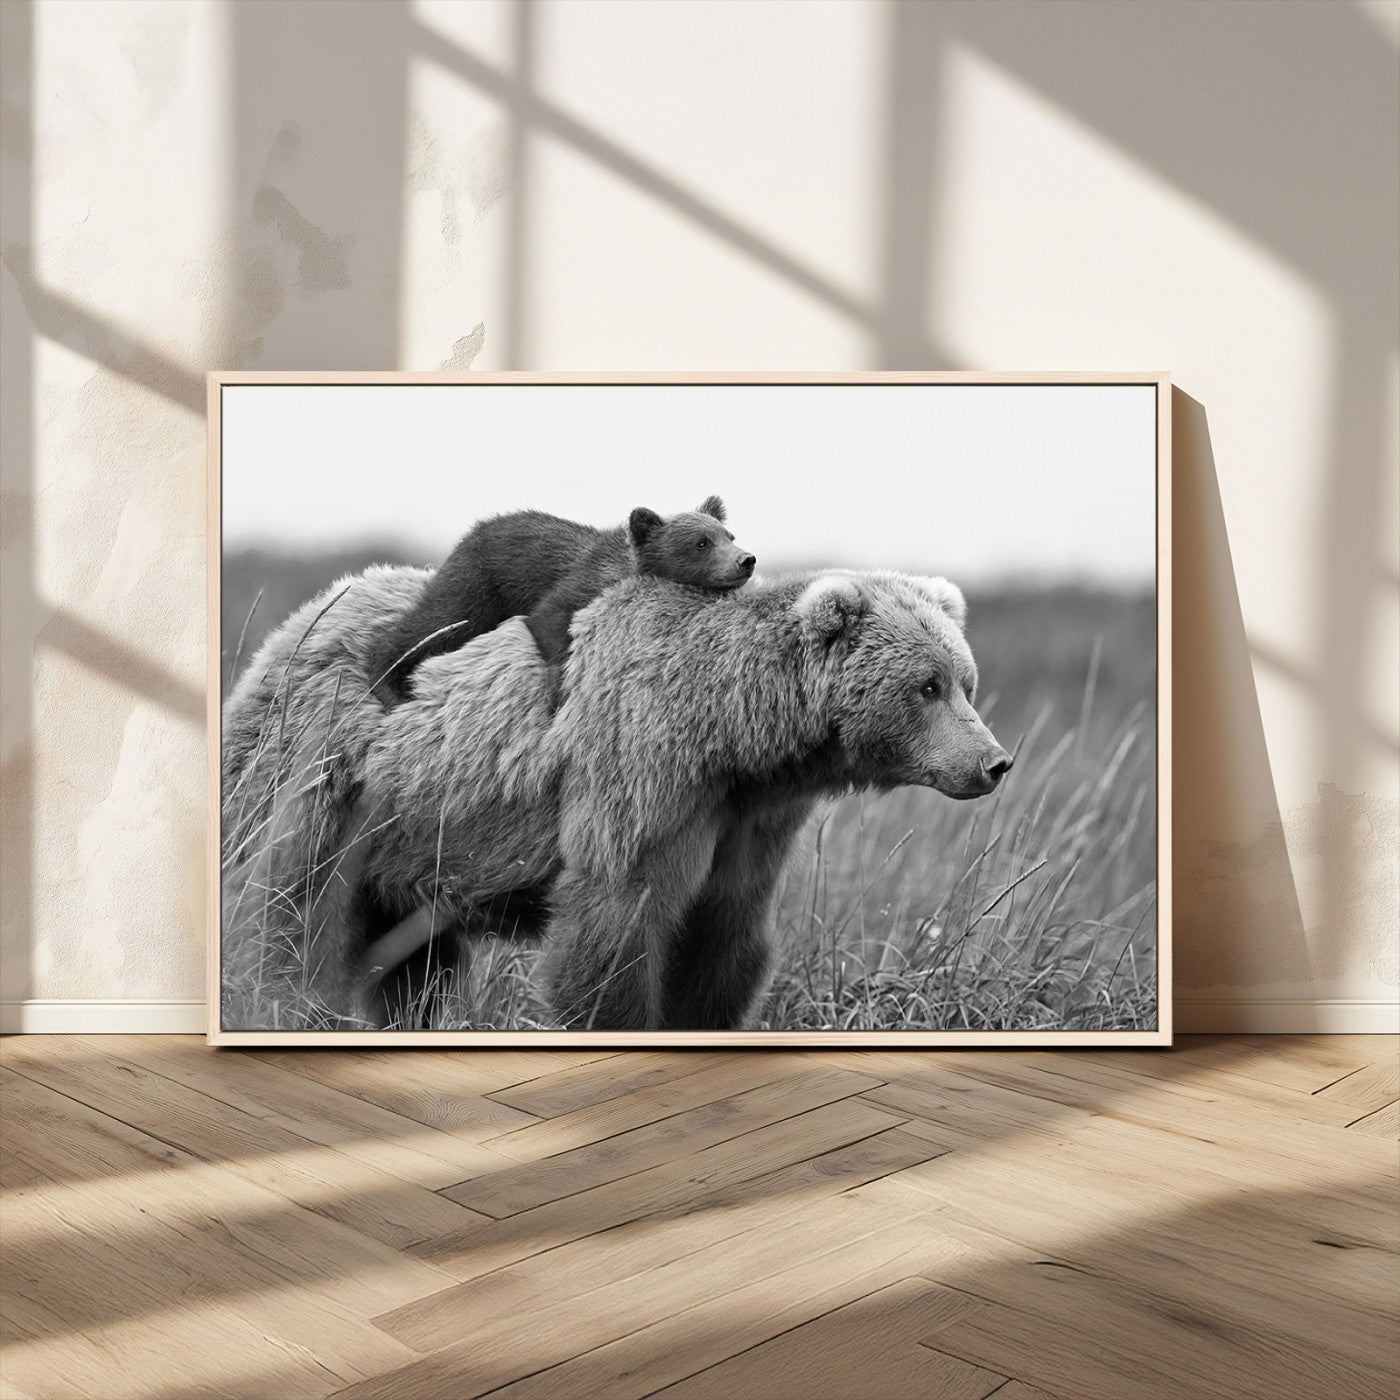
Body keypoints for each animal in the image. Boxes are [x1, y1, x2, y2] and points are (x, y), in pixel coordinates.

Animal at [220, 561, 1012, 1033]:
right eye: (928, 686)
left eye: (965, 680)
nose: (994, 761)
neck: (735, 735)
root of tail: (302, 616)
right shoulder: (641, 773)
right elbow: (615, 925)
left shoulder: (748, 821)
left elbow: (724, 937)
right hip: (323, 776)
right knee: (287, 909)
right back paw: (275, 1002)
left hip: (414, 838)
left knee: (414, 961)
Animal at [363, 495, 755, 705]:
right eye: (701, 542)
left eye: (729, 534)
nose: (746, 560)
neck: (625, 569)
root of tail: (473, 530)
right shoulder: (579, 583)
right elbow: (549, 618)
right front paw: (558, 691)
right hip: (478, 584)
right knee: (435, 623)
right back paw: (387, 683)